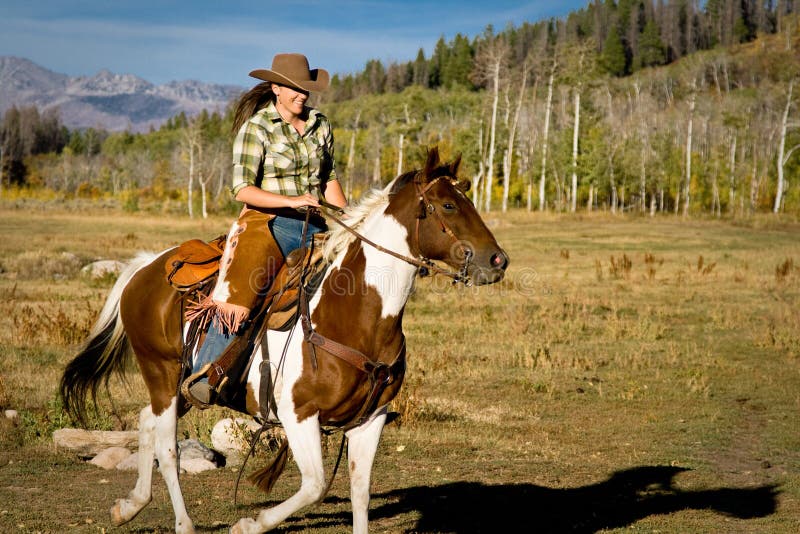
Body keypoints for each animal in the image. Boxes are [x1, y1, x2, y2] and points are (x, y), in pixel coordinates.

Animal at [59, 148, 508, 533]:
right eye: (448, 206)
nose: (498, 261)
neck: (353, 314)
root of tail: (145, 267)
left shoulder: (371, 419)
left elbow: (359, 491)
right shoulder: (298, 415)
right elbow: (314, 486)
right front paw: (247, 524)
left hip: (181, 385)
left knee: (145, 421)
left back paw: (129, 506)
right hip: (161, 373)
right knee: (167, 447)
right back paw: (183, 524)